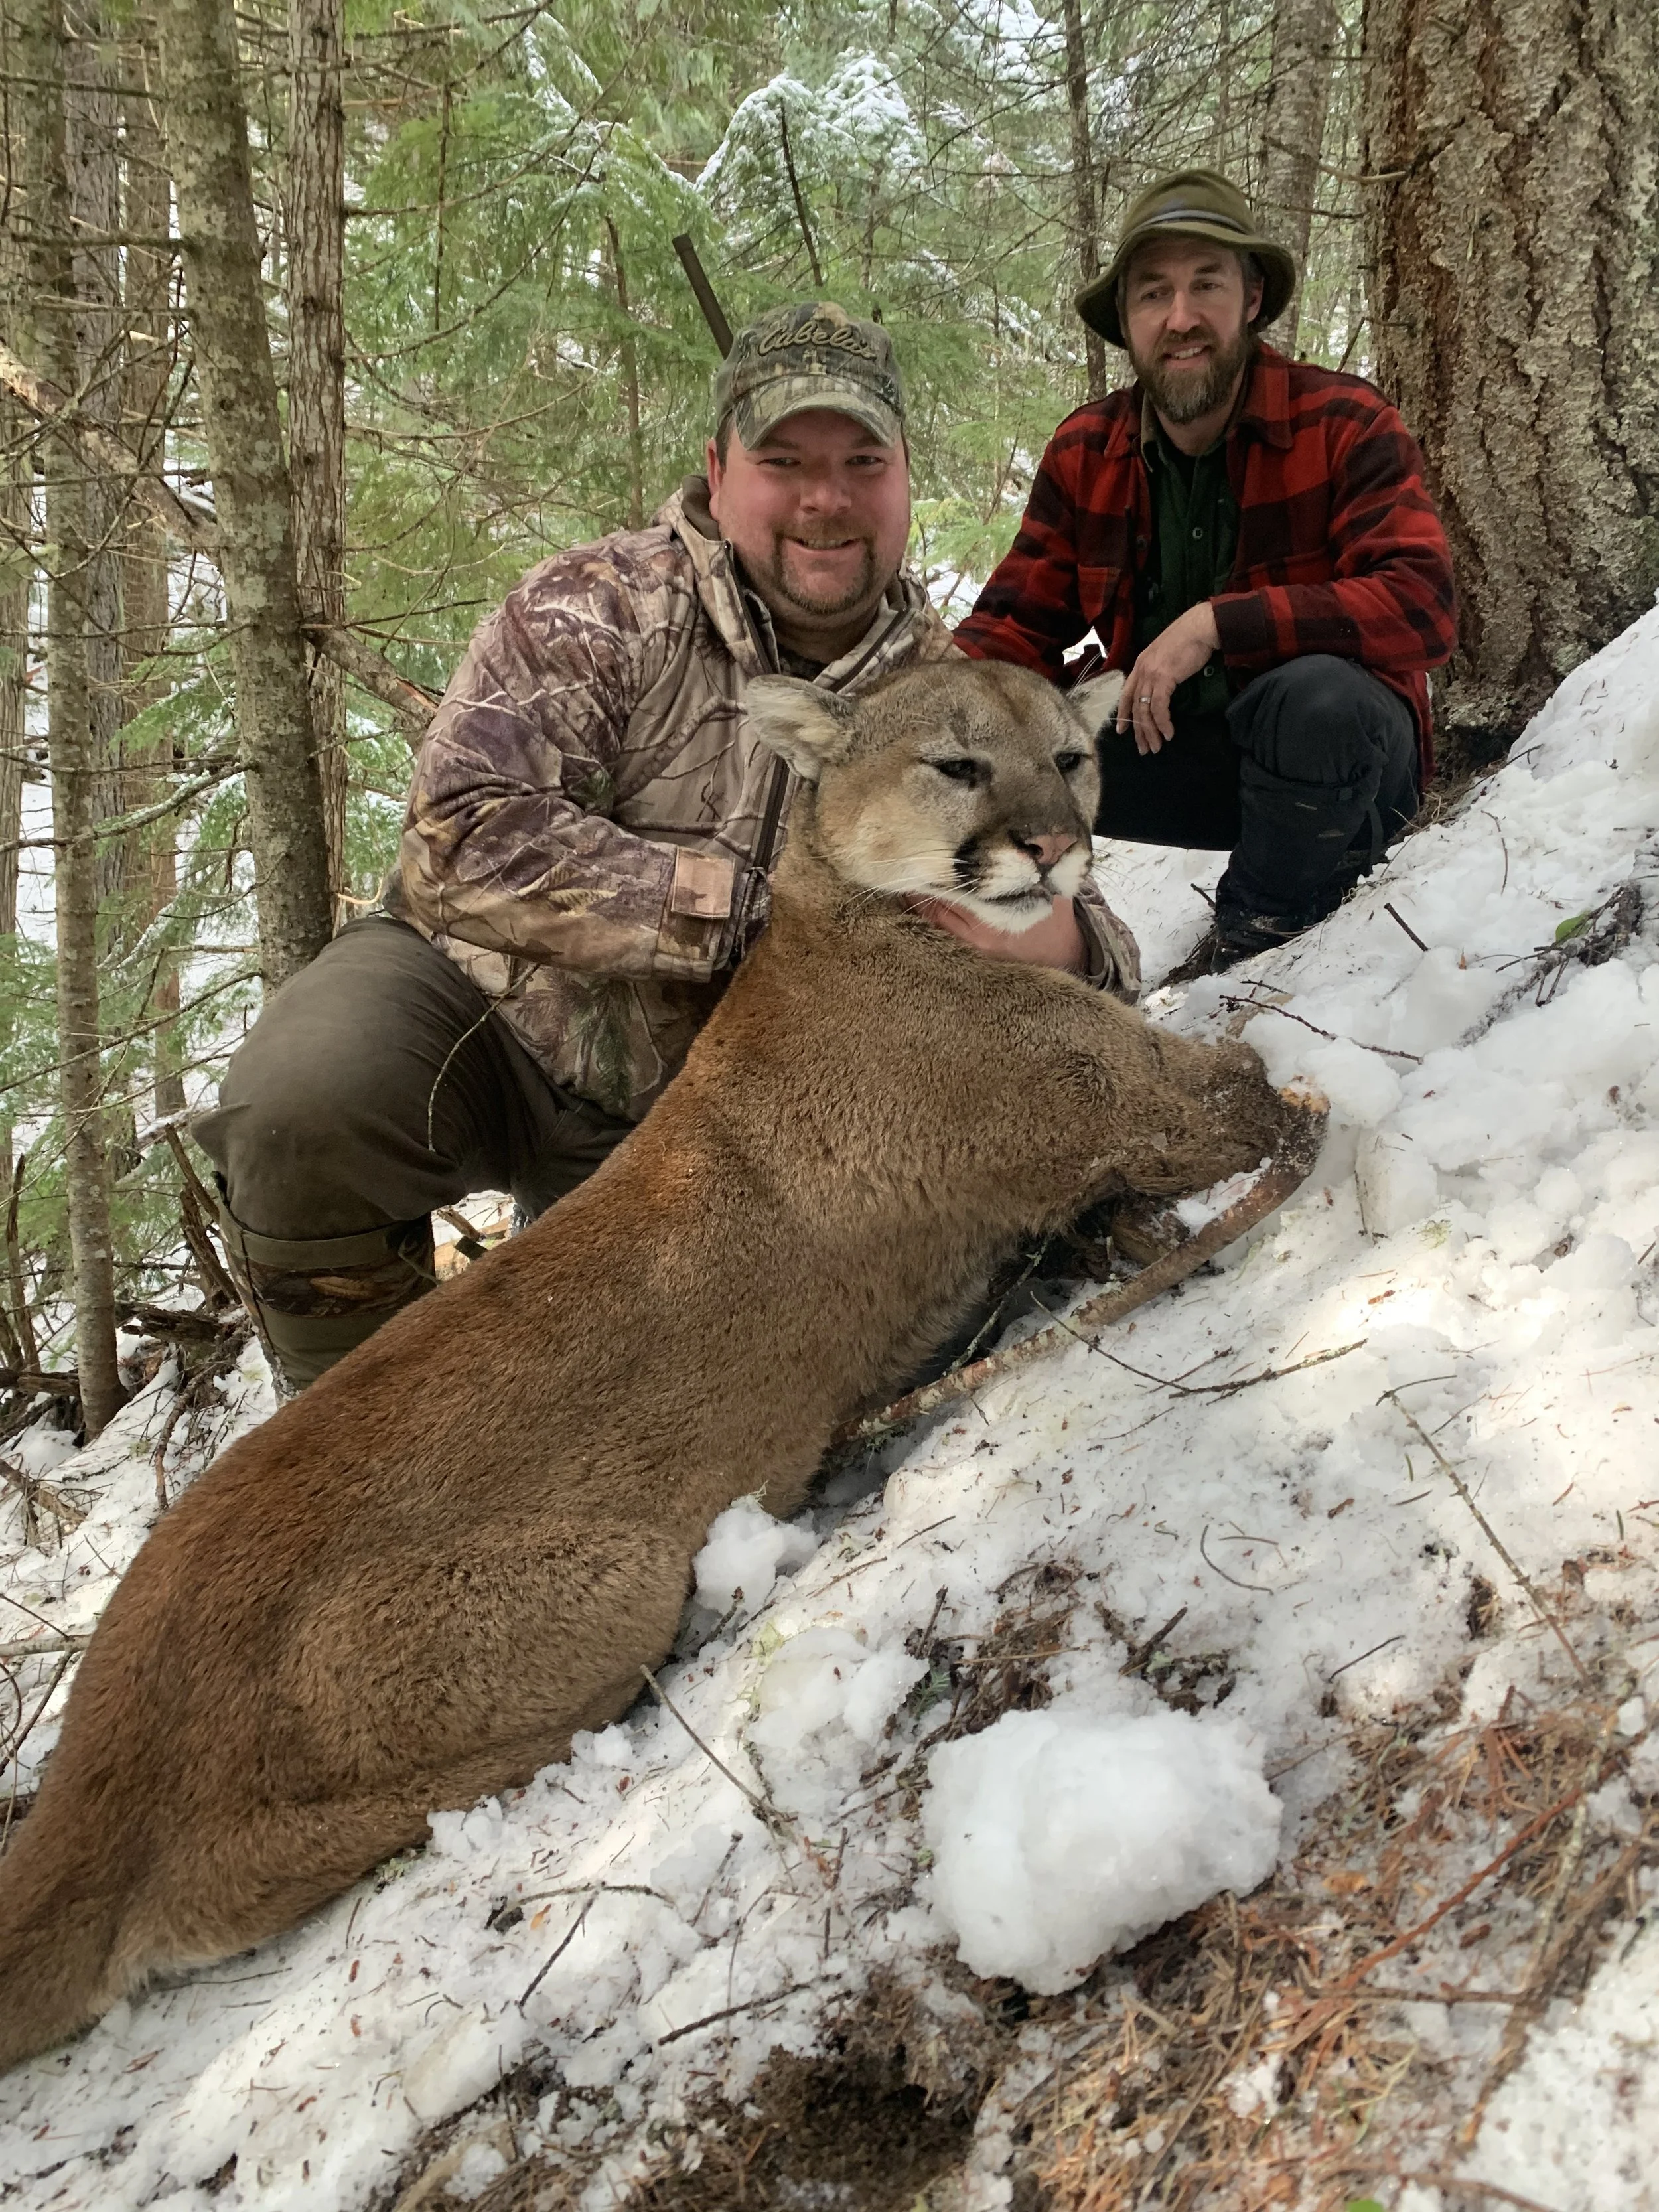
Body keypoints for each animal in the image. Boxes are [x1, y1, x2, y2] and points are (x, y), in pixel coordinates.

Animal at [0, 659, 1296, 2071]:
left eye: (1069, 756)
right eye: (958, 763)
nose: (1055, 848)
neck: (860, 917)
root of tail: (99, 1740)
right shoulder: (1122, 1100)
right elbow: (1251, 1081)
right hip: (596, 1586)